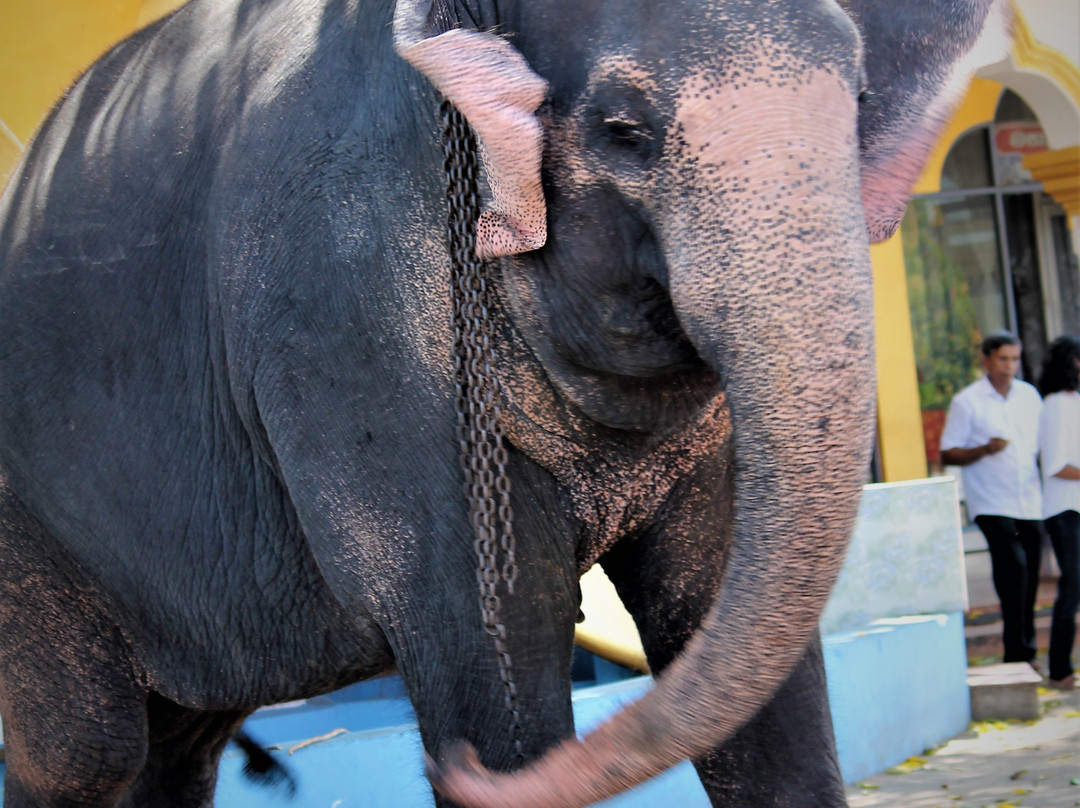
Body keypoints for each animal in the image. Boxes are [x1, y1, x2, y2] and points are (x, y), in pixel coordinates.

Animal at [0, 1, 1010, 808]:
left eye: (859, 104)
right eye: (622, 130)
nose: (453, 773)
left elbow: (718, 608)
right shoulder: (351, 313)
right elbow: (496, 642)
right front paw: (492, 748)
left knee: (177, 744)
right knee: (88, 755)